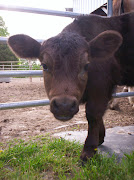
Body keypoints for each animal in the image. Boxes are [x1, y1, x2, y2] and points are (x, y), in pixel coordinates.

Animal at [7, 11, 134, 161]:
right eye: (44, 65)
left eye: (86, 65)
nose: (64, 106)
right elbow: (98, 116)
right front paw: (99, 139)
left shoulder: (101, 87)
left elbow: (93, 115)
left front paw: (88, 150)